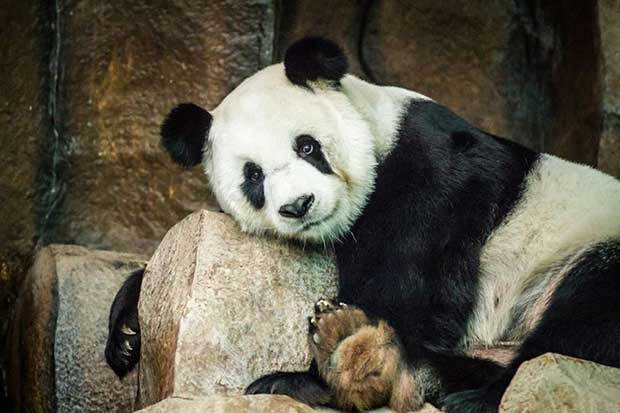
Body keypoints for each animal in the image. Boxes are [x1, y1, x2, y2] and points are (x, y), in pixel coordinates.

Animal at [105, 37, 620, 410]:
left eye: (307, 146)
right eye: (253, 176)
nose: (299, 204)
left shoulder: (432, 180)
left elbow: (408, 294)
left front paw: (308, 377)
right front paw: (127, 332)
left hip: (584, 248)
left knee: (581, 324)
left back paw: (474, 396)